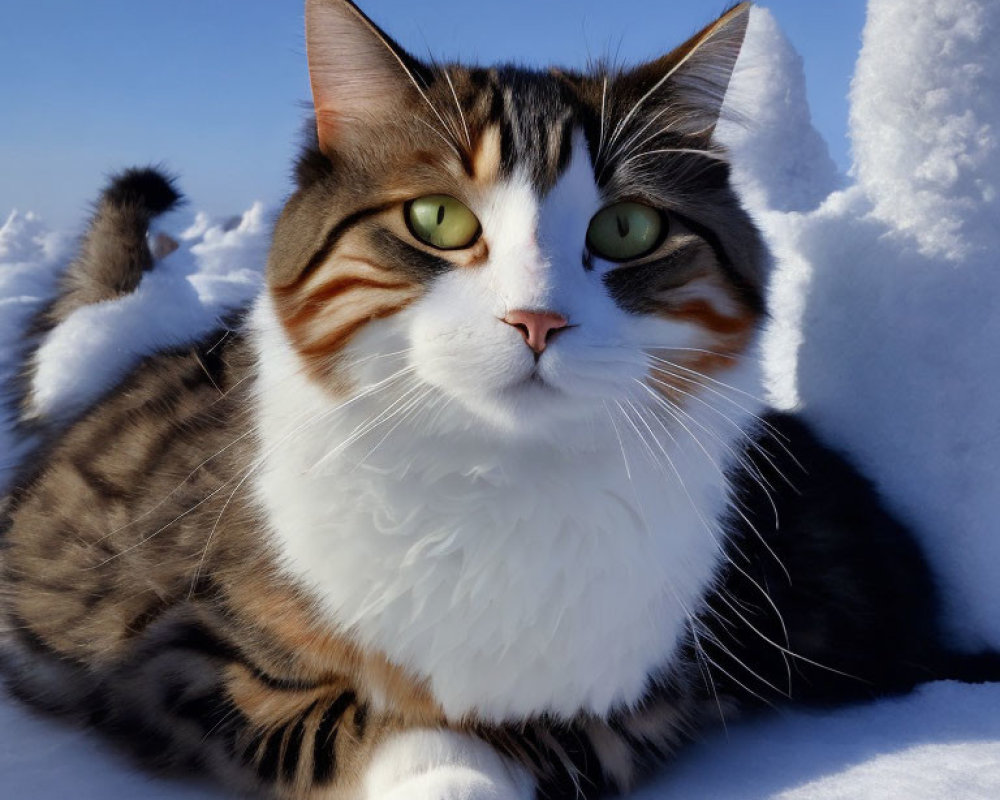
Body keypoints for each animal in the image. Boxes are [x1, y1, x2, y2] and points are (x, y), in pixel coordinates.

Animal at [0, 1, 988, 800]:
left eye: (628, 227)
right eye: (437, 219)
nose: (537, 318)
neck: (500, 481)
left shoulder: (647, 688)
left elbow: (544, 736)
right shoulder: (184, 659)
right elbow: (355, 722)